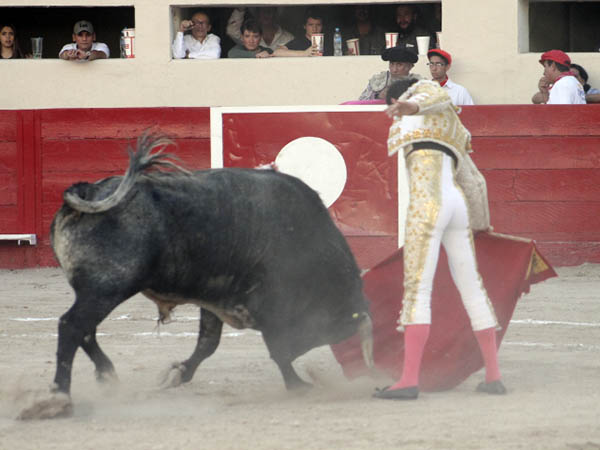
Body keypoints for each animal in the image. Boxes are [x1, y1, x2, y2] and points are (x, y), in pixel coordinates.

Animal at [49, 134, 372, 398]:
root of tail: (89, 191)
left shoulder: (216, 294)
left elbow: (208, 342)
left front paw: (178, 374)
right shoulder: (270, 305)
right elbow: (277, 348)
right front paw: (298, 385)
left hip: (99, 290)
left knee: (85, 330)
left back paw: (107, 376)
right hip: (109, 286)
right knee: (72, 326)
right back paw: (60, 395)